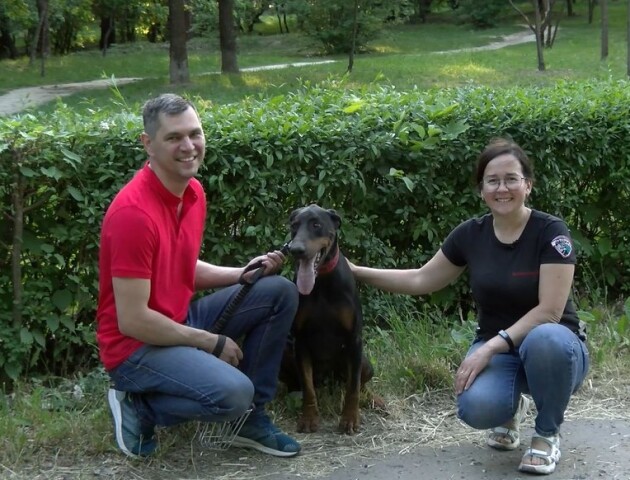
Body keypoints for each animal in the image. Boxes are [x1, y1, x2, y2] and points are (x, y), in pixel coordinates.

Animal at [284, 202, 378, 436]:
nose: (295, 250)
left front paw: (350, 419)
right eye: (294, 225)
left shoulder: (354, 339)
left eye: (316, 224)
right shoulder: (300, 342)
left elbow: (353, 387)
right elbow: (308, 388)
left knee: (359, 383)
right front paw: (308, 418)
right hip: (287, 352)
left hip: (363, 361)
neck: (322, 281)